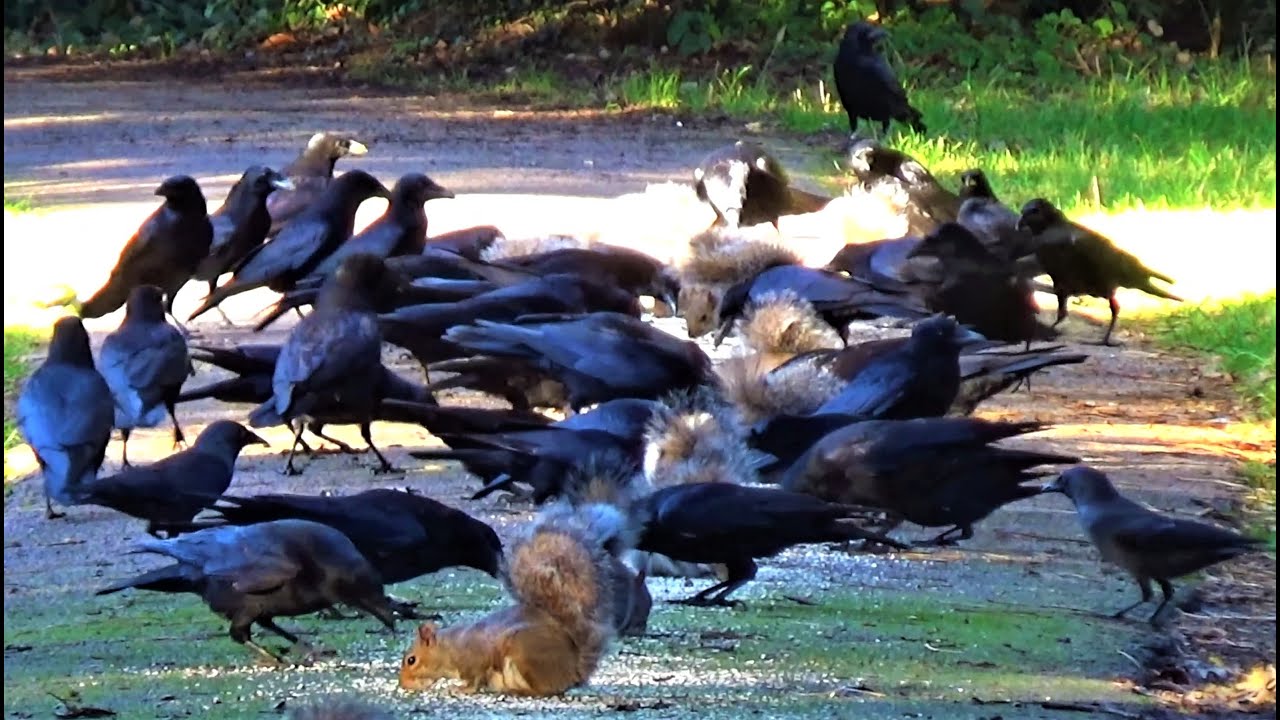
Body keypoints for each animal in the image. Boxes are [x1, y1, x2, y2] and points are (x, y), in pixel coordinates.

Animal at [399, 499, 633, 696]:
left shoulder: (475, 659)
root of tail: (574, 671)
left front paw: (461, 689)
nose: (403, 683)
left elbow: (475, 678)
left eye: (411, 660)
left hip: (523, 652)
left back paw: (516, 690)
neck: (450, 647)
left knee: (542, 690)